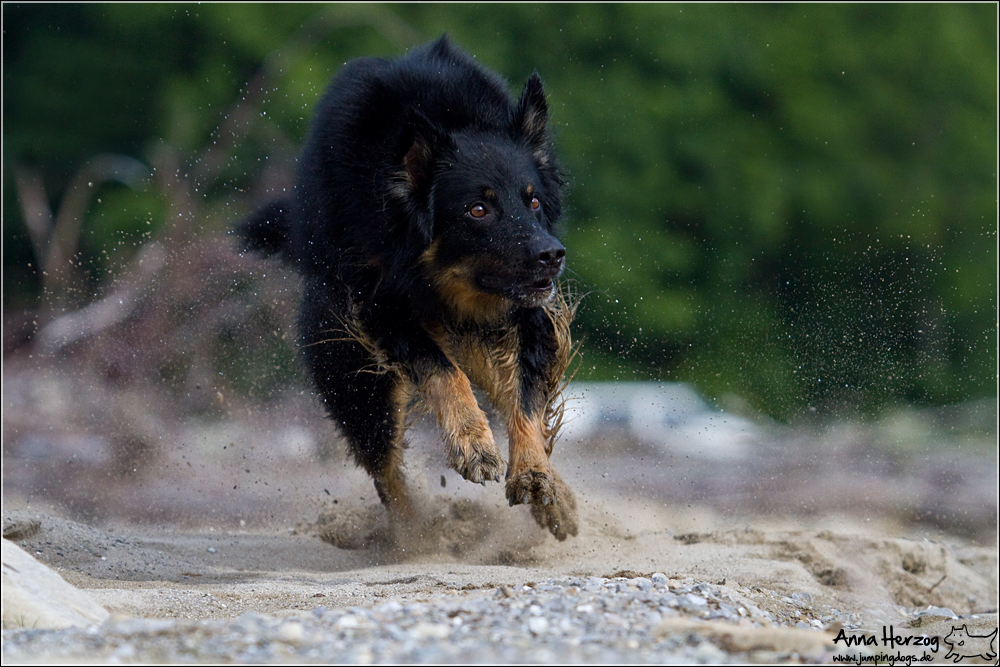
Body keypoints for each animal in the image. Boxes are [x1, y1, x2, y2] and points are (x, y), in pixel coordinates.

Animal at [241, 34, 580, 540]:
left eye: (533, 201)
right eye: (478, 209)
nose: (553, 255)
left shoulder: (526, 316)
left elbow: (525, 399)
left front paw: (536, 474)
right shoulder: (380, 310)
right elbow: (442, 370)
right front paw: (473, 442)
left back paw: (556, 499)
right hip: (355, 377)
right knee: (384, 468)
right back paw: (415, 536)